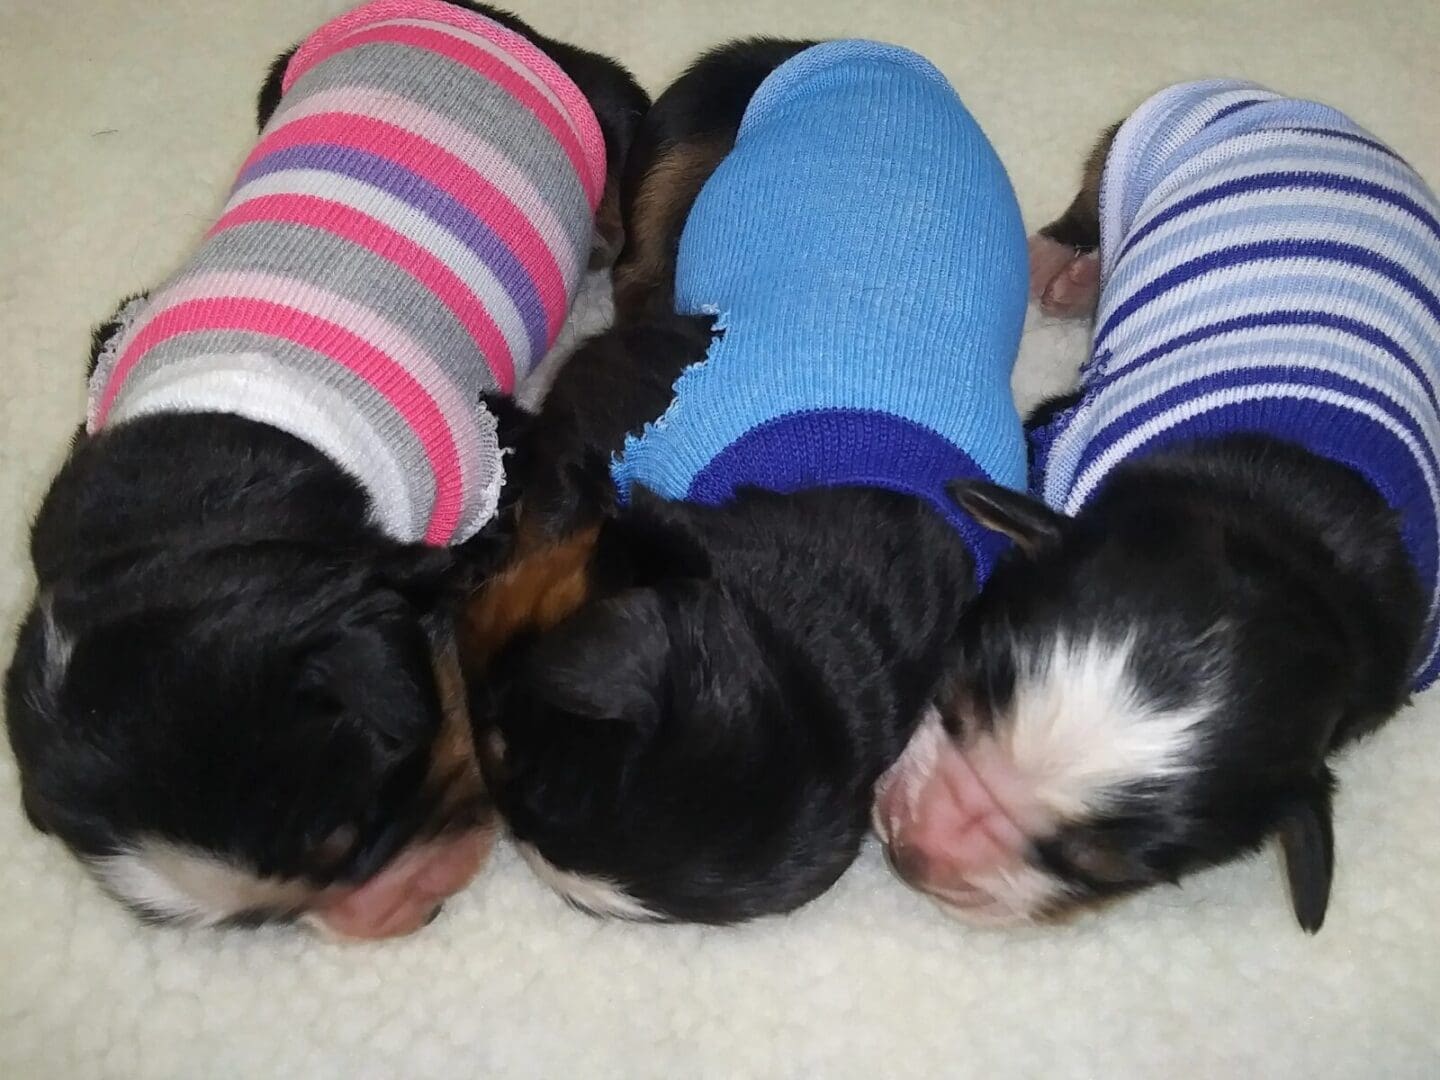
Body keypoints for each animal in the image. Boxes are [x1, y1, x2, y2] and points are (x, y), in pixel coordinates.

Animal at [4, 0, 648, 938]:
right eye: (265, 920)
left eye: (360, 826)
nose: (396, 917)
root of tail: (457, 11)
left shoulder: (493, 453)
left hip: (601, 98)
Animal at [869, 80, 1434, 933]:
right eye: (954, 699)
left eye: (1100, 868)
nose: (915, 850)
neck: (1288, 537)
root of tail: (1299, 105)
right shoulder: (1055, 436)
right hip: (1139, 146)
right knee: (1088, 206)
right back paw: (1063, 269)